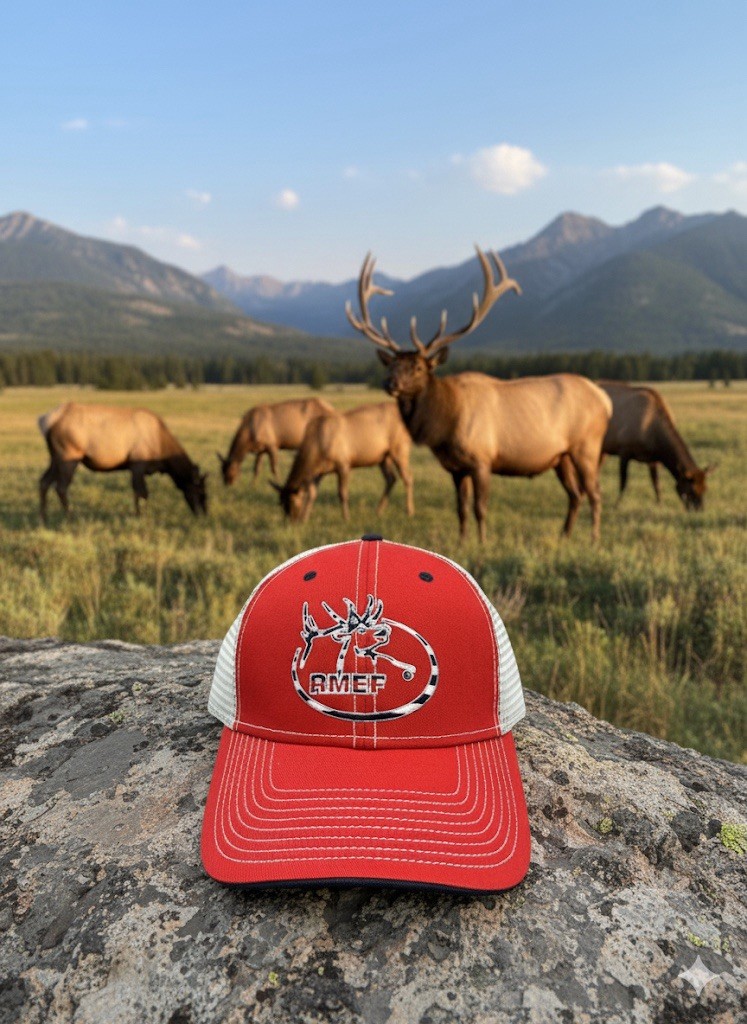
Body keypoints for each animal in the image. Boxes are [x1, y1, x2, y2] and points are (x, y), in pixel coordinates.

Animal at [38, 403, 208, 524]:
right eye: (199, 491)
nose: (203, 515)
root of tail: (45, 421)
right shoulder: (137, 464)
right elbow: (142, 492)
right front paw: (142, 517)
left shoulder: (134, 467)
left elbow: (137, 492)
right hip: (68, 454)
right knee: (61, 487)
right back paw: (70, 517)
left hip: (55, 457)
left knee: (43, 481)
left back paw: (44, 519)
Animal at [271, 402, 414, 523]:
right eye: (281, 503)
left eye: (292, 502)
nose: (291, 521)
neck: (316, 450)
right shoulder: (320, 471)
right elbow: (312, 493)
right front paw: (305, 519)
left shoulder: (343, 463)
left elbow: (342, 493)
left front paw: (346, 517)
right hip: (384, 457)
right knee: (391, 478)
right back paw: (378, 511)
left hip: (400, 448)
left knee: (407, 478)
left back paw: (409, 511)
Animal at [345, 247, 612, 541]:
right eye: (391, 364)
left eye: (417, 367)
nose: (389, 382)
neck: (445, 427)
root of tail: (605, 400)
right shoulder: (456, 468)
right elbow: (461, 508)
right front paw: (462, 541)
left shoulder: (482, 459)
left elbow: (480, 507)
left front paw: (483, 542)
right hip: (560, 456)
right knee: (575, 494)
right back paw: (564, 535)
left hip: (587, 446)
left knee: (595, 492)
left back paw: (594, 538)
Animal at [559, 381, 715, 509]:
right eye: (692, 490)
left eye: (705, 488)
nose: (699, 509)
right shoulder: (624, 450)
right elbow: (623, 481)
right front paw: (617, 504)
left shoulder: (653, 459)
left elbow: (656, 483)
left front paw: (660, 503)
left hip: (601, 449)